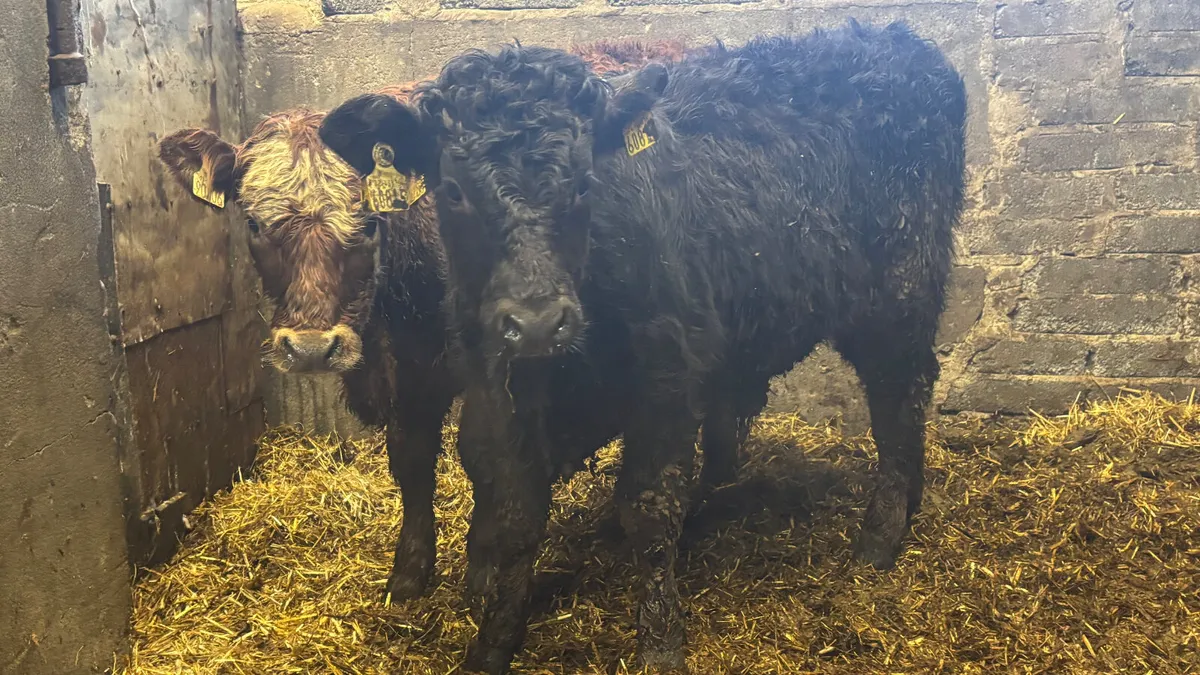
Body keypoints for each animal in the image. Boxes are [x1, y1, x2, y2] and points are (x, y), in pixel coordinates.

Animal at [155, 39, 752, 609]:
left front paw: (485, 566)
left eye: (369, 224)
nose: (309, 348)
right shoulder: (409, 374)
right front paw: (411, 568)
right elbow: (411, 459)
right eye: (254, 224)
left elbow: (480, 457)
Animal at [319, 19, 968, 674]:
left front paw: (659, 640)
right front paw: (493, 640)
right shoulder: (505, 396)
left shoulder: (665, 386)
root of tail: (897, 37)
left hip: (899, 295)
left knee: (899, 400)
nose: (537, 322)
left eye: (585, 183)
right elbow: (516, 517)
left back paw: (881, 534)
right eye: (452, 191)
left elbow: (650, 511)